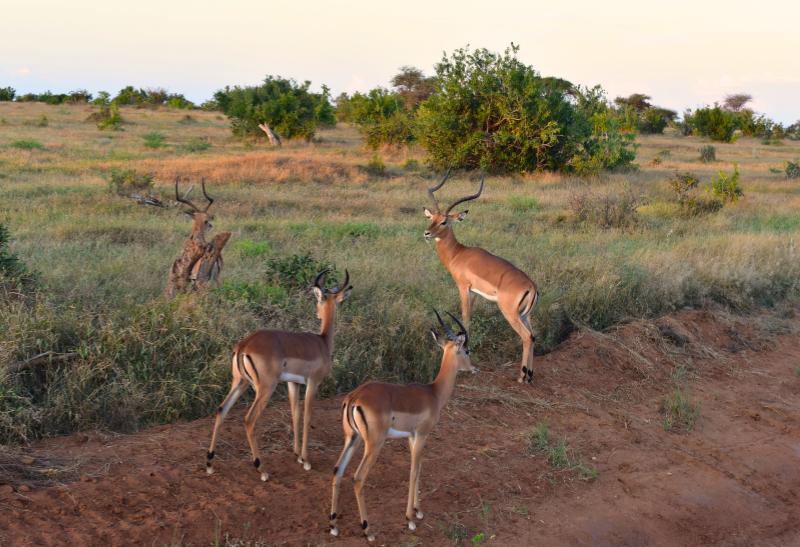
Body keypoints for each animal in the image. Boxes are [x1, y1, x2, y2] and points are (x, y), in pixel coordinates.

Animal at [206, 268, 354, 480]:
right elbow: (307, 415)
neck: (322, 342)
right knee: (249, 419)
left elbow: (295, 413)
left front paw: (297, 455)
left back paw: (210, 463)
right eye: (319, 300)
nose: (318, 315)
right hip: (265, 388)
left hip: (240, 382)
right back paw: (262, 469)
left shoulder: (293, 383)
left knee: (221, 410)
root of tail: (244, 345)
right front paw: (306, 461)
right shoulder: (313, 383)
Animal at [330, 310, 476, 540]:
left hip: (352, 438)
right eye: (467, 350)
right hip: (374, 444)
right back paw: (368, 530)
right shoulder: (422, 435)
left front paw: (418, 511)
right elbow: (414, 471)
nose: (474, 368)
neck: (434, 393)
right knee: (358, 478)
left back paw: (334, 525)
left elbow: (419, 468)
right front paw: (410, 520)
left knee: (338, 470)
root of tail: (354, 398)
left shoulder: (411, 436)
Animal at [422, 173, 540, 384]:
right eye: (432, 218)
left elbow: (465, 318)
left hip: (510, 314)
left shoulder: (463, 287)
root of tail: (531, 287)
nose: (427, 233)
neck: (458, 253)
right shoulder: (475, 292)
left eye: (444, 221)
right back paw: (530, 375)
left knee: (527, 337)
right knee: (533, 336)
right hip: (525, 315)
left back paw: (521, 376)